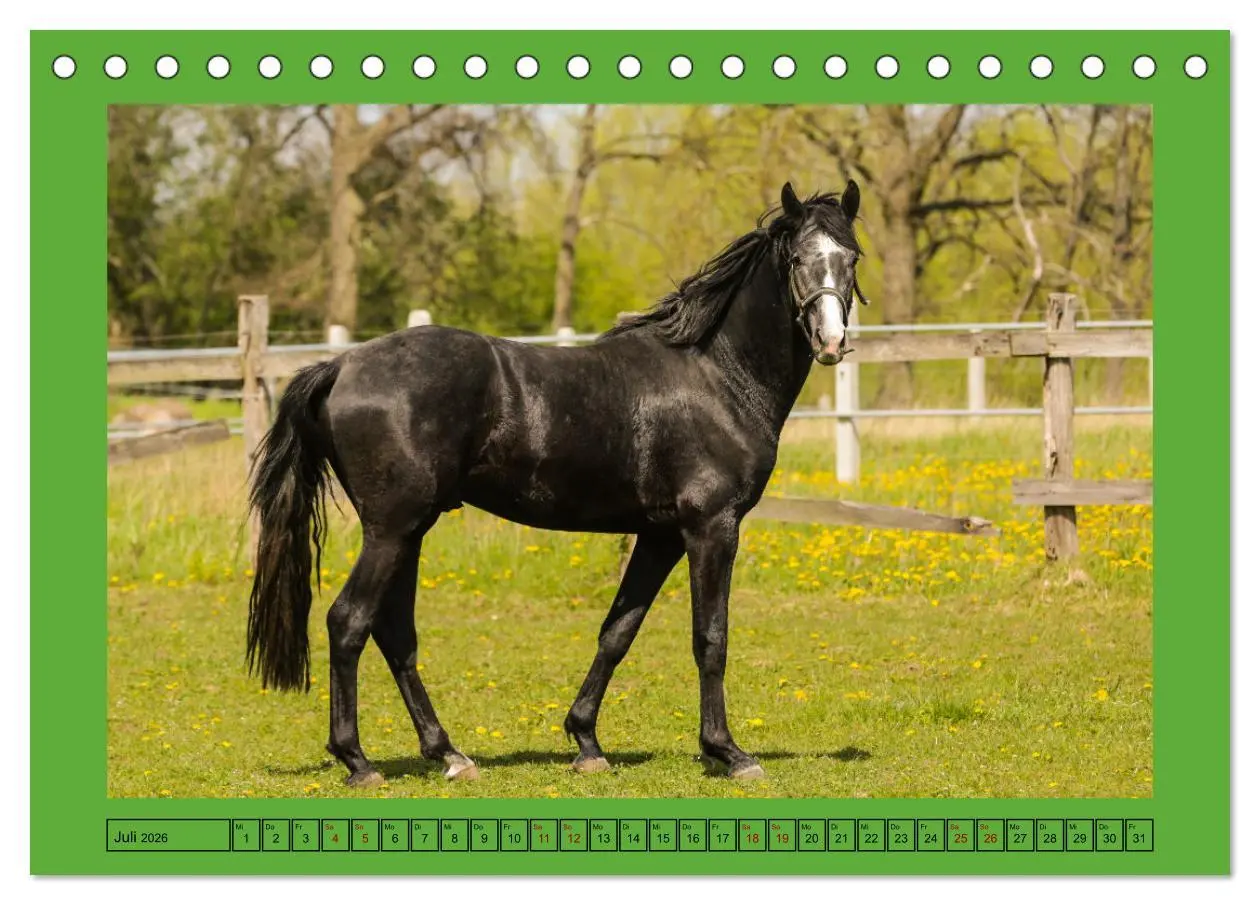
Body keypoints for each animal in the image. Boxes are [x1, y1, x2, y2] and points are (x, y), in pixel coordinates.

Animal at [246, 180, 868, 786]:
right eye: (797, 258)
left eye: (851, 256)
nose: (831, 341)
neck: (717, 374)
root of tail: (341, 366)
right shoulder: (711, 528)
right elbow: (710, 637)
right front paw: (728, 752)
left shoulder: (660, 535)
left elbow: (618, 631)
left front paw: (586, 741)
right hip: (392, 530)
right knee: (348, 621)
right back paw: (358, 761)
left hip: (408, 532)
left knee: (395, 631)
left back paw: (449, 755)